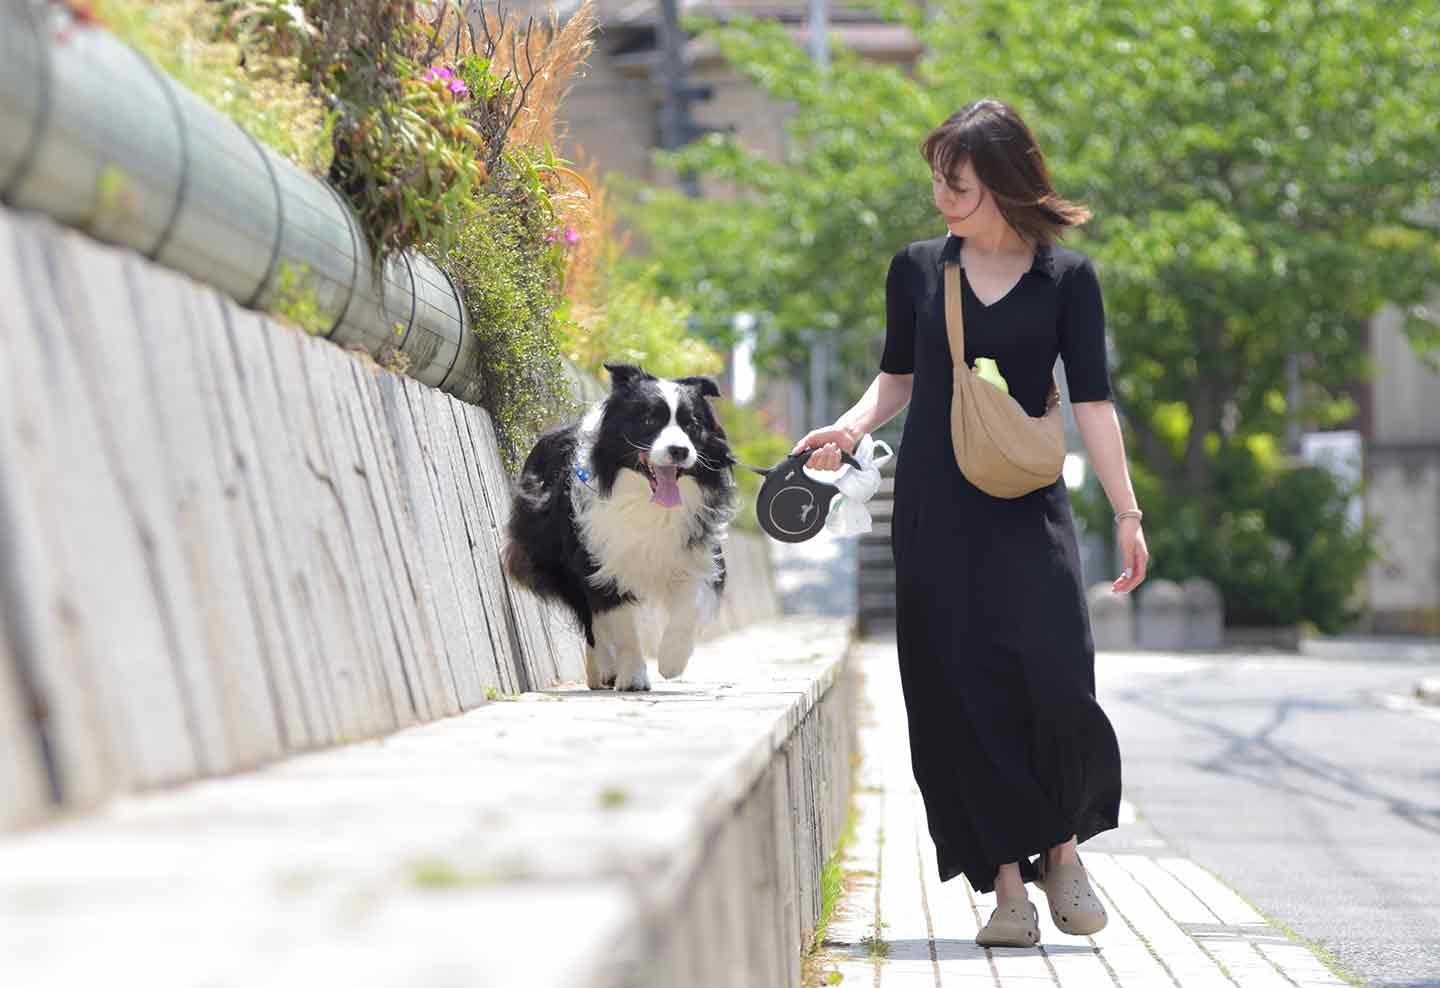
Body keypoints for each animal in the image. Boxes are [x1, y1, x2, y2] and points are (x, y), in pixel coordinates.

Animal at [501, 360, 737, 694]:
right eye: (649, 420)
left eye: (692, 425)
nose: (679, 450)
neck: (647, 501)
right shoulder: (602, 559)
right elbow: (621, 625)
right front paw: (633, 676)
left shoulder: (695, 552)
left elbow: (688, 606)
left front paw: (671, 660)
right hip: (557, 560)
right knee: (590, 620)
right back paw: (602, 670)